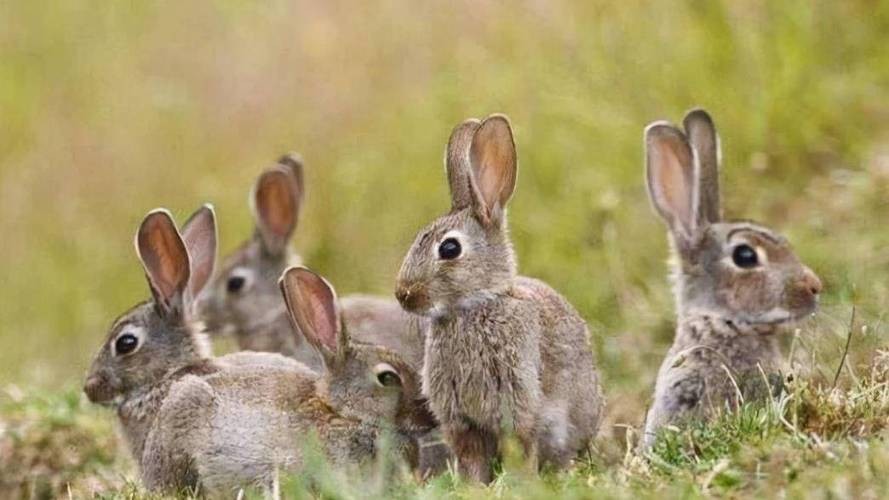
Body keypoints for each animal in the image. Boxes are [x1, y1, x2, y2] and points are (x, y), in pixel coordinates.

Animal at [394, 115, 604, 483]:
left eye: (450, 248)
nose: (403, 294)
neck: (474, 306)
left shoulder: (518, 404)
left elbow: (521, 447)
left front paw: (521, 483)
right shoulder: (462, 421)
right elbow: (472, 458)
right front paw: (474, 486)